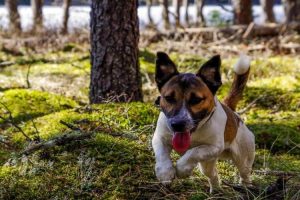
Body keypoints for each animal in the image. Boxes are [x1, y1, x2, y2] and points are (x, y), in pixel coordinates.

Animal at [152, 52, 255, 193]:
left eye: (196, 100)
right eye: (169, 98)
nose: (178, 124)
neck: (193, 134)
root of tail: (233, 113)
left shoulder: (213, 147)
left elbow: (194, 152)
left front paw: (182, 168)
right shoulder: (159, 138)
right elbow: (161, 153)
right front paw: (165, 173)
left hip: (242, 157)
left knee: (245, 173)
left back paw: (246, 187)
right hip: (207, 164)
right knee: (213, 174)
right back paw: (216, 189)